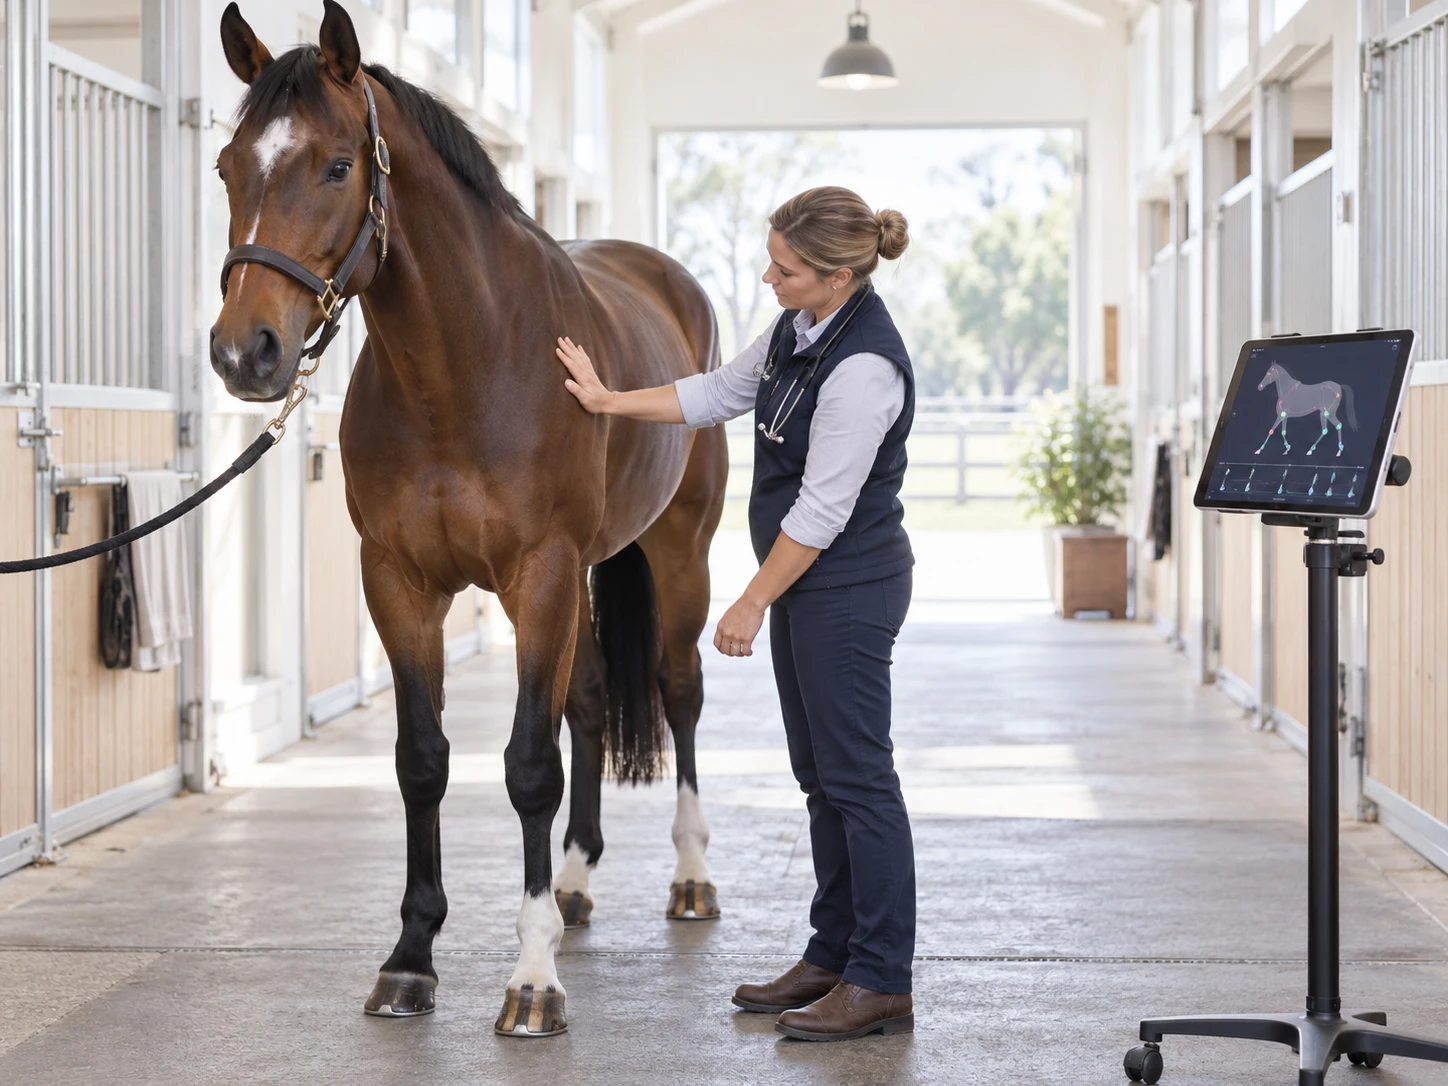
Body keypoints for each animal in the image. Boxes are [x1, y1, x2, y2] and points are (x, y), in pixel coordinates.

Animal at [210, 1, 727, 1037]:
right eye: (227, 167)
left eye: (337, 165)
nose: (248, 353)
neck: (464, 366)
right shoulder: (400, 583)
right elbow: (423, 760)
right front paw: (411, 959)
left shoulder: (540, 573)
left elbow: (527, 765)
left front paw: (531, 981)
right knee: (592, 703)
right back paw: (572, 885)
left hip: (677, 550)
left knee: (679, 689)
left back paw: (690, 877)